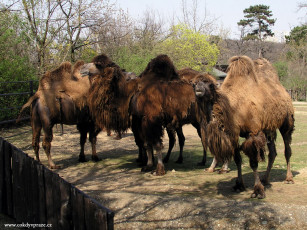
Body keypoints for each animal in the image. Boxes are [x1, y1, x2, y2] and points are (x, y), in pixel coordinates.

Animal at [195, 55, 296, 198]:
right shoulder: (234, 134)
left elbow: (253, 162)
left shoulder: (253, 132)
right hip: (269, 128)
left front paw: (258, 191)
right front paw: (239, 185)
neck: (232, 108)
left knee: (287, 150)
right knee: (273, 152)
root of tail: (285, 92)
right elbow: (237, 159)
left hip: (286, 122)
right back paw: (265, 179)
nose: (198, 88)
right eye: (193, 83)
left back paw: (288, 178)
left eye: (210, 84)